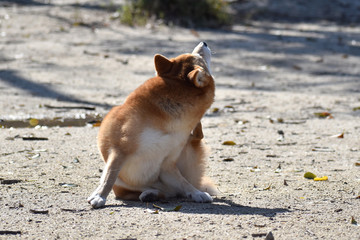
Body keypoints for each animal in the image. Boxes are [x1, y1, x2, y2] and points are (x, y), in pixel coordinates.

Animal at [88, 42, 217, 208]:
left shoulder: (168, 162)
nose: (203, 43)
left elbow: (184, 182)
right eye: (199, 56)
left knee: (177, 189)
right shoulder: (119, 150)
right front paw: (99, 195)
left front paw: (196, 193)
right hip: (124, 182)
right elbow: (109, 177)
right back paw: (150, 193)